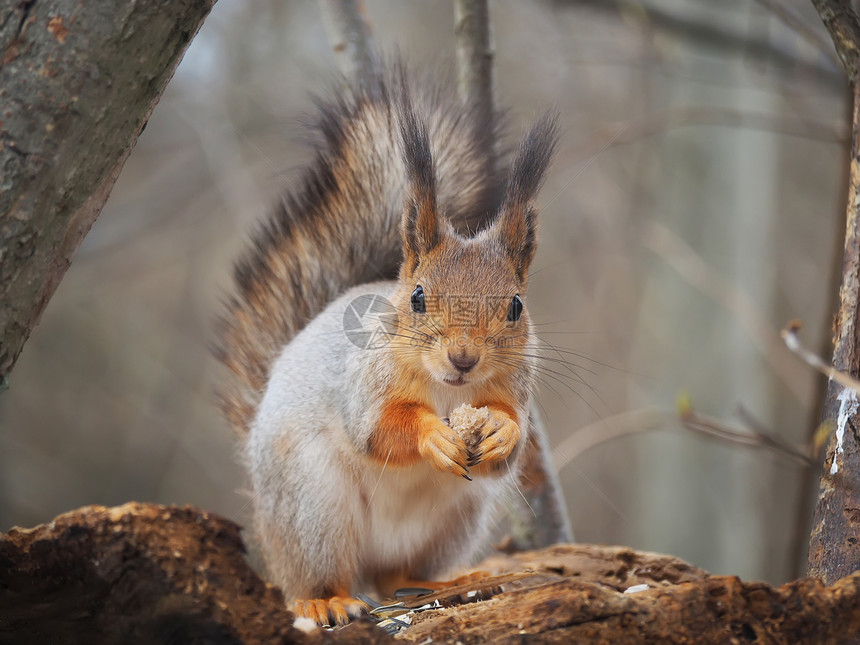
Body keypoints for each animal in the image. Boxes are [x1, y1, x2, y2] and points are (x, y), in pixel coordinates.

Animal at [215, 66, 556, 624]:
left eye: (515, 306)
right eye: (417, 297)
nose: (463, 359)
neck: (448, 391)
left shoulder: (515, 389)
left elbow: (510, 447)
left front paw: (501, 431)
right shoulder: (363, 384)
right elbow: (377, 430)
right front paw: (432, 435)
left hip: (458, 516)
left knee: (398, 575)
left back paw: (451, 580)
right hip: (313, 504)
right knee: (315, 576)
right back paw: (325, 600)